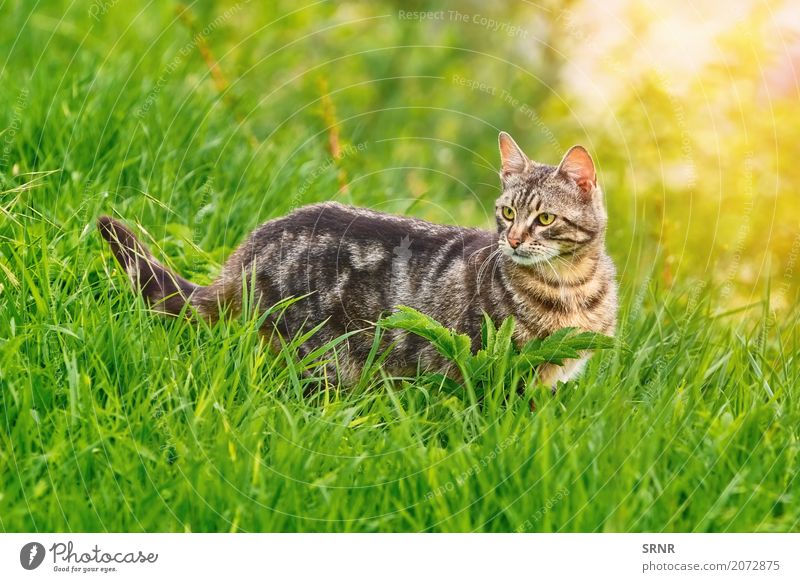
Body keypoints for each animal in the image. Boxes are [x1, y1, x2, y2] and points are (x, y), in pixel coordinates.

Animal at [97, 133, 616, 388]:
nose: (512, 239)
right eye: (508, 212)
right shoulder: (492, 367)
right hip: (321, 356)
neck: (571, 289)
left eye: (544, 218)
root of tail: (252, 246)